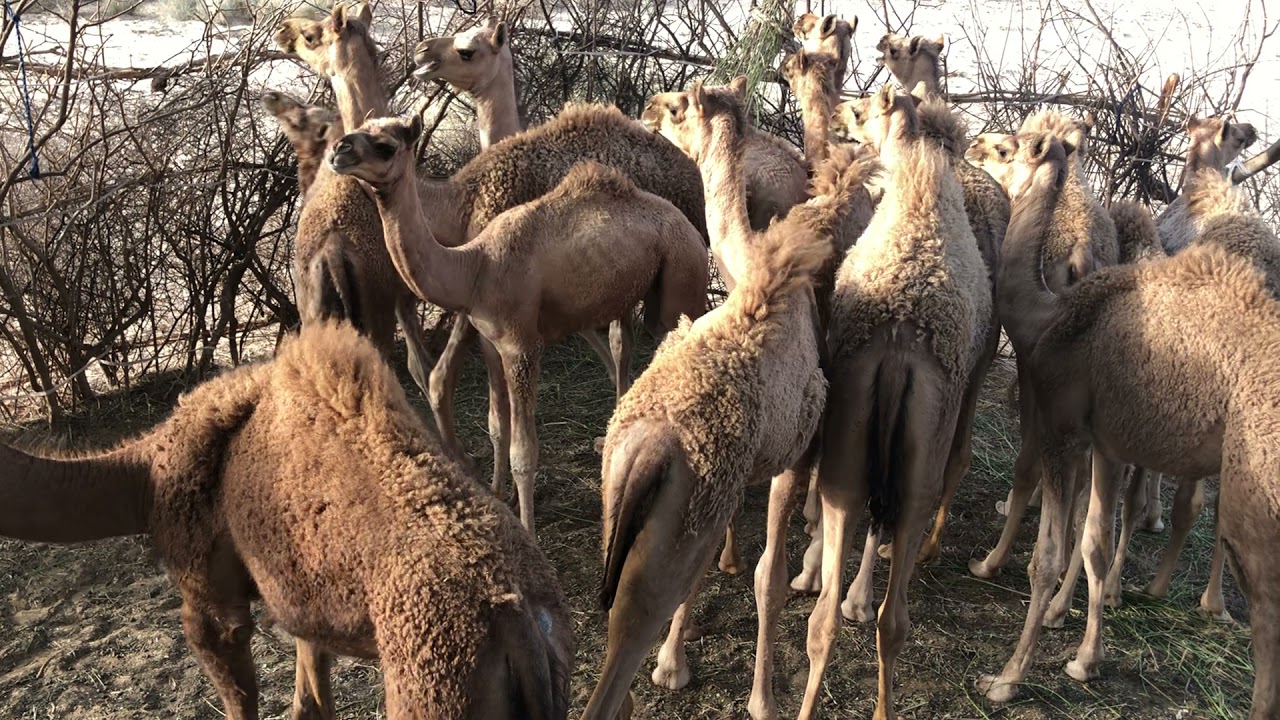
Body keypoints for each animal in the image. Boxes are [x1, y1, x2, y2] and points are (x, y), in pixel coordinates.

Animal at [0, 322, 573, 720]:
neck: (146, 473)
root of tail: (519, 622)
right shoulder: (302, 598)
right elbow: (310, 694)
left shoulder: (208, 597)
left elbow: (240, 693)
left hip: (435, 694)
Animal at [329, 114, 708, 539]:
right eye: (362, 127)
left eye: (386, 146)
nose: (340, 149)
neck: (473, 266)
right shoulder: (490, 339)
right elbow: (497, 422)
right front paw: (498, 495)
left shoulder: (522, 346)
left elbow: (524, 451)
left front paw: (528, 529)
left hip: (681, 281)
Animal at [582, 80, 876, 720]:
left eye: (676, 109)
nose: (646, 107)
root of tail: (646, 451)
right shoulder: (783, 456)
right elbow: (767, 576)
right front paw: (759, 698)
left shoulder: (743, 473)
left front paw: (678, 663)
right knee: (628, 630)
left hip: (622, 509)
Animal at [796, 84, 990, 720]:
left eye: (861, 110)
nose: (841, 117)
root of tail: (901, 336)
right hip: (913, 473)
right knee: (892, 619)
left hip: (847, 457)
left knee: (826, 617)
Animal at [975, 131, 1280, 720]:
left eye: (1008, 147)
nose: (974, 144)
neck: (1047, 314)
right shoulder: (1110, 443)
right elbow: (1094, 539)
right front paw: (1084, 660)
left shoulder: (1063, 431)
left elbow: (1048, 553)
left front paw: (1007, 676)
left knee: (1265, 610)